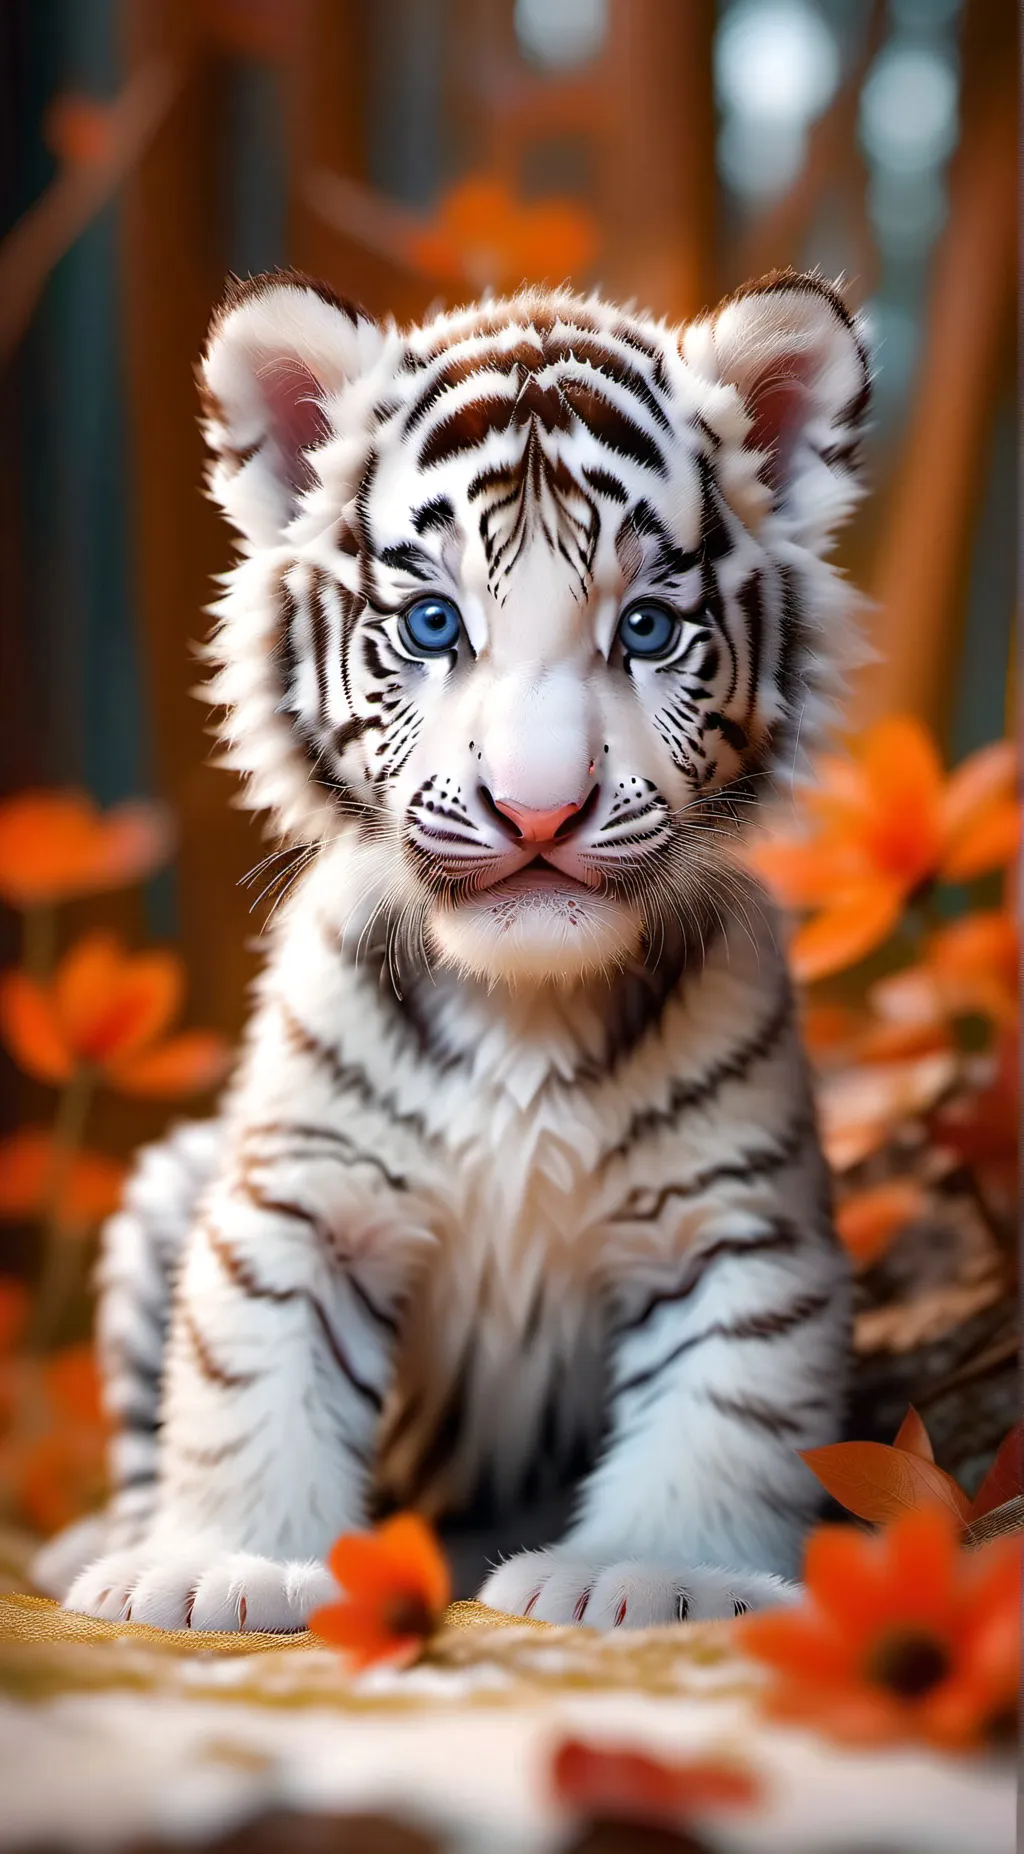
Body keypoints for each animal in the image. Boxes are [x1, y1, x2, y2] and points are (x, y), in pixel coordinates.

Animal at [38, 266, 871, 1632]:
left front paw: (654, 1576)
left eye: (646, 632)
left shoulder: (735, 1223)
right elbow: (244, 1382)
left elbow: (725, 1410)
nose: (537, 812)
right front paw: (223, 1567)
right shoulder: (298, 1194)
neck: (525, 1002)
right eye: (433, 625)